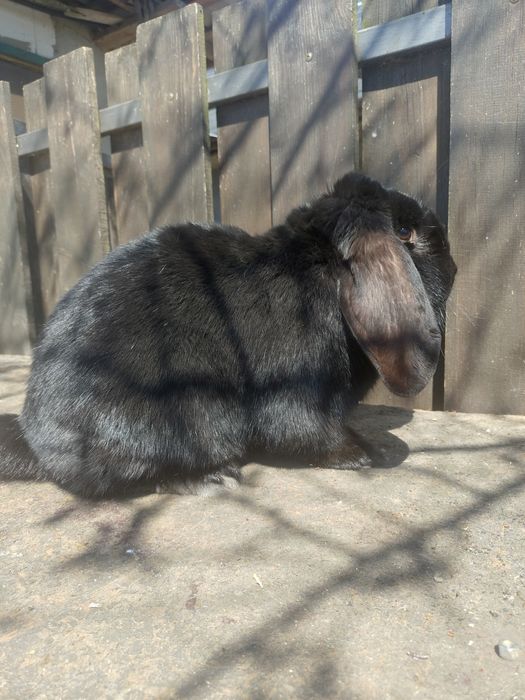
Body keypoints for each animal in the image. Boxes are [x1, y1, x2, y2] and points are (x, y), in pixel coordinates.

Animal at [0, 172, 456, 498]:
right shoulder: (295, 391)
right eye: (404, 234)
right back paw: (211, 478)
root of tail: (36, 441)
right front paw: (363, 453)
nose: (454, 266)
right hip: (181, 416)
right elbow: (304, 430)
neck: (320, 272)